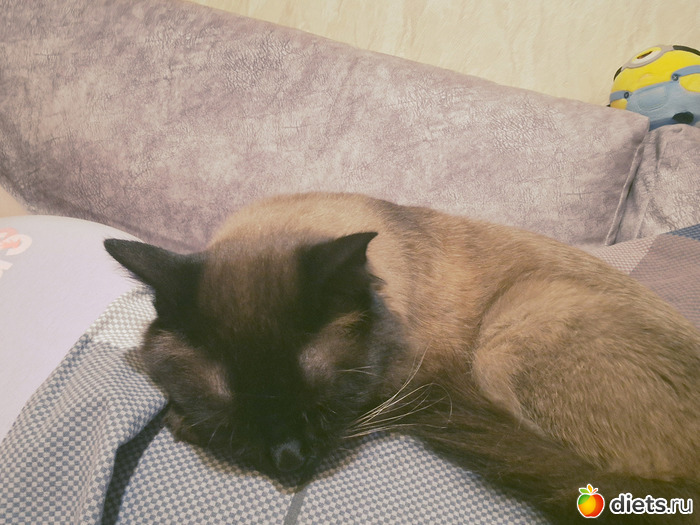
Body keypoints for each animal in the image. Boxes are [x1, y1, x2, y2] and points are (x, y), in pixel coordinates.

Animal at [105, 192, 700, 524]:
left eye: (323, 408)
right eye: (239, 423)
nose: (289, 463)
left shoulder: (398, 389)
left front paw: (180, 424)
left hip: (513, 332)